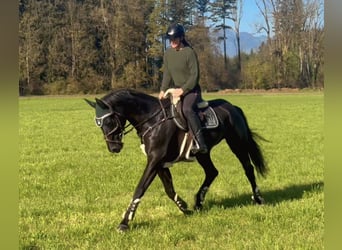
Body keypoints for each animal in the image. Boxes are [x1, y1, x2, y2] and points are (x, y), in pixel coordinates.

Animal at [85, 89, 268, 231]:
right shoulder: (159, 163)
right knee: (212, 172)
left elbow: (140, 189)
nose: (113, 148)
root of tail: (232, 107)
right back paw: (198, 203)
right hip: (203, 153)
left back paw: (258, 198)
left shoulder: (154, 160)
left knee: (248, 168)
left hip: (237, 143)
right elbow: (169, 189)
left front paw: (124, 223)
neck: (152, 119)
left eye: (109, 120)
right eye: (99, 124)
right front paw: (184, 207)